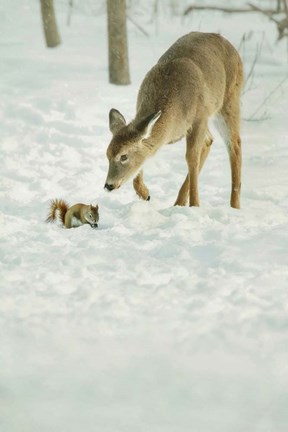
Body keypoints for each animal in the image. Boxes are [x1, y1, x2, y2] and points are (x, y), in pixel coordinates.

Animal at [103, 31, 243, 208]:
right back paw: (179, 202)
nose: (108, 185)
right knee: (209, 141)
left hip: (229, 100)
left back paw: (234, 205)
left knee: (234, 144)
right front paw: (145, 193)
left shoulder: (200, 117)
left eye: (123, 156)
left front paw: (195, 205)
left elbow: (191, 158)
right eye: (107, 154)